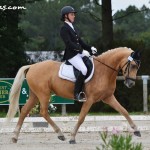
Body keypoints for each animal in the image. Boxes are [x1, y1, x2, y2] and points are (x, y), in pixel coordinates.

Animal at [6, 47, 142, 144]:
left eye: (137, 66)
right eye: (133, 65)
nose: (130, 83)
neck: (104, 71)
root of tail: (32, 66)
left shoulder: (108, 97)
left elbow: (124, 111)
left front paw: (136, 130)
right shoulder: (90, 99)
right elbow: (81, 118)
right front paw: (72, 138)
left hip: (35, 95)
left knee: (24, 111)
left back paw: (14, 137)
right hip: (43, 94)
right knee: (43, 112)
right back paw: (60, 134)